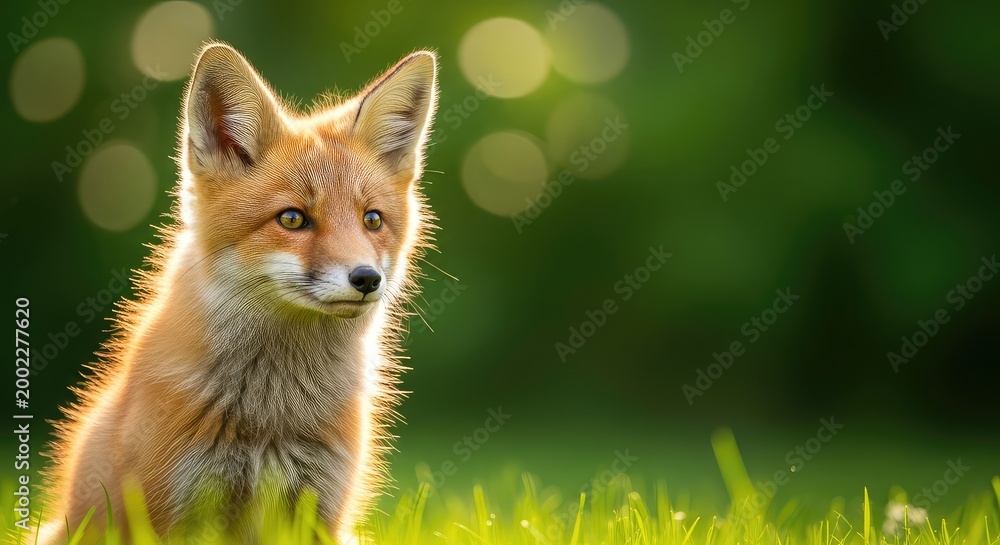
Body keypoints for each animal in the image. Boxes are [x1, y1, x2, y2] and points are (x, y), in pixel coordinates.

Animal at [35, 42, 439, 544]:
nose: (366, 279)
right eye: (292, 219)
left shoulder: (320, 511)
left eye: (372, 220)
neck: (273, 413)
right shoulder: (176, 512)